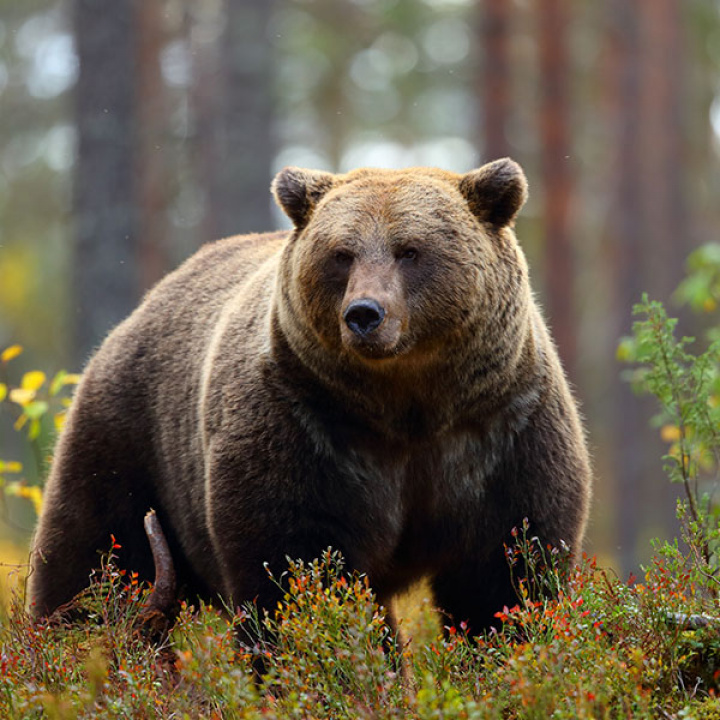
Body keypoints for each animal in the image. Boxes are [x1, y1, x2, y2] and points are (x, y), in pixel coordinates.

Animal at [29, 159, 592, 636]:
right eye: (341, 254)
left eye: (410, 250)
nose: (364, 313)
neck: (409, 406)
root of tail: (142, 308)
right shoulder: (305, 426)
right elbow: (295, 566)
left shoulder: (501, 429)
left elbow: (505, 574)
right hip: (130, 437)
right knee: (93, 555)